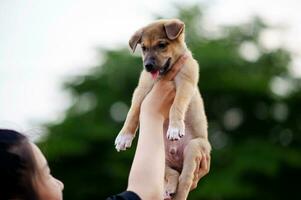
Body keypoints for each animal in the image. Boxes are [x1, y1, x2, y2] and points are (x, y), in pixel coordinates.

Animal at [115, 19, 211, 200]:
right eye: (144, 48)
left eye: (162, 45)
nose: (148, 66)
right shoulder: (142, 89)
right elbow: (133, 111)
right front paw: (124, 137)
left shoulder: (185, 85)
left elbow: (176, 106)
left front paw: (175, 128)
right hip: (158, 158)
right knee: (173, 174)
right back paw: (169, 189)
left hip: (194, 148)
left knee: (184, 182)